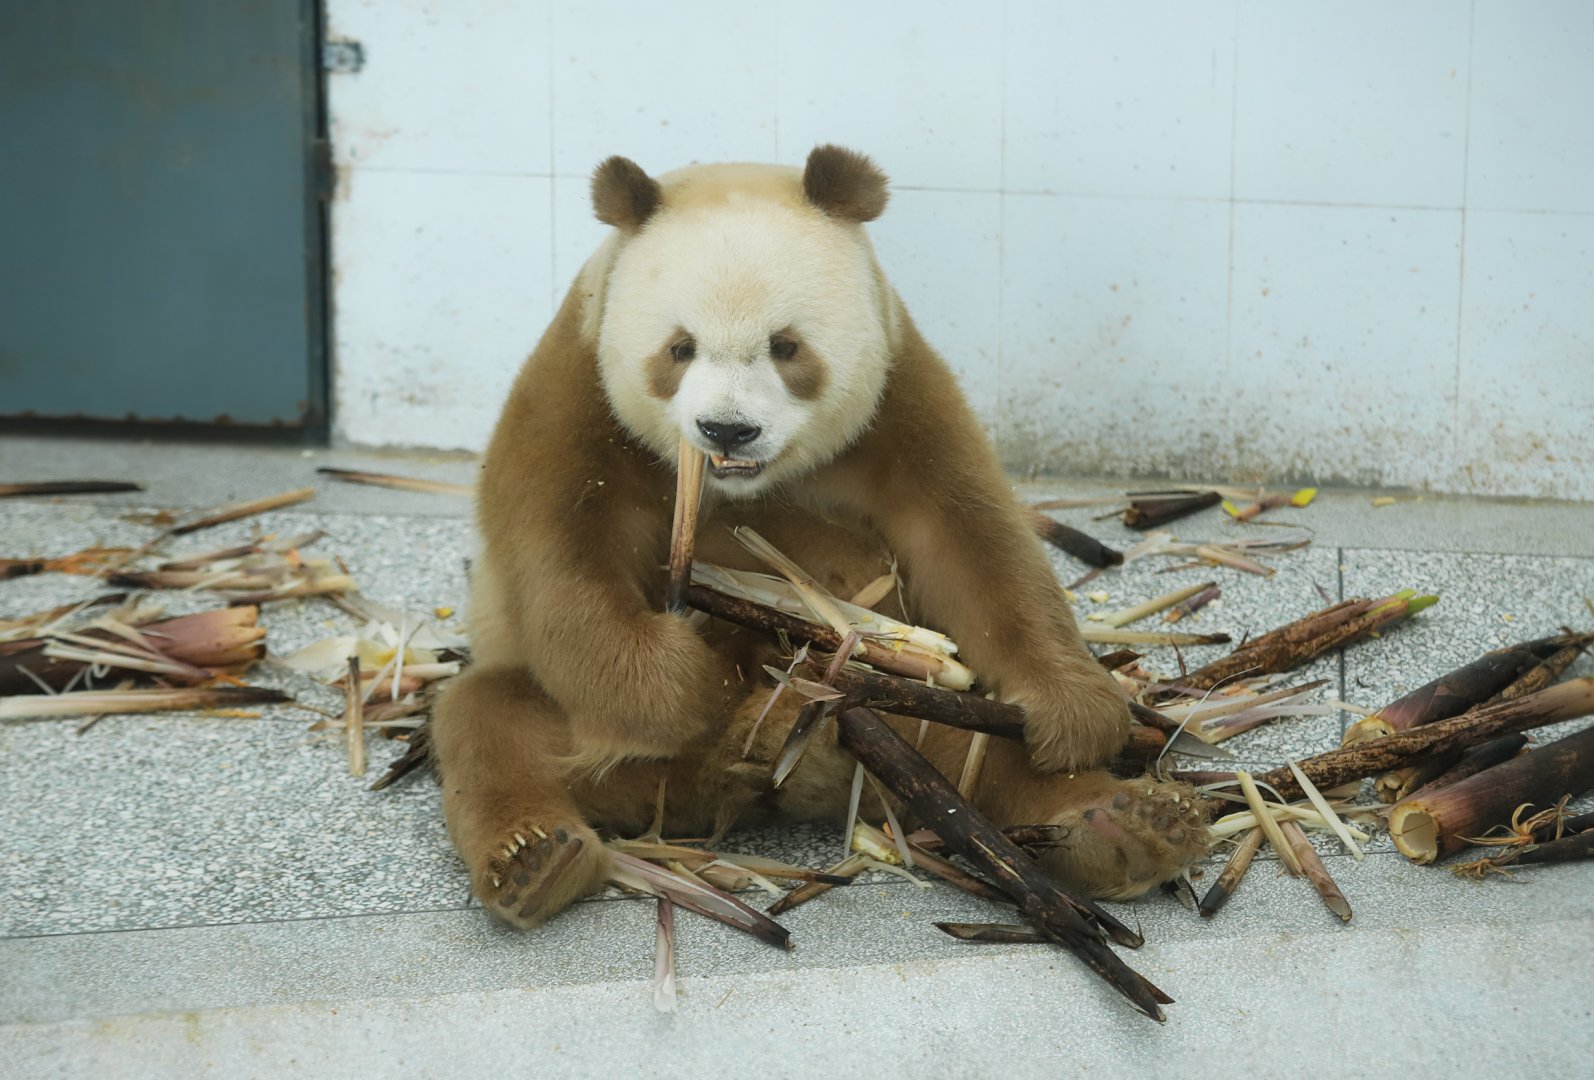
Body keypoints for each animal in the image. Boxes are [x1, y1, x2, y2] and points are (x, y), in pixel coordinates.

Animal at [431, 145, 1210, 927]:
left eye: (786, 347)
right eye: (679, 348)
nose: (727, 430)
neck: (744, 485)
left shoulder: (896, 398)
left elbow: (972, 544)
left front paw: (1074, 711)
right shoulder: (575, 396)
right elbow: (562, 560)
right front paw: (676, 690)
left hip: (883, 702)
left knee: (980, 751)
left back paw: (1128, 827)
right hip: (586, 738)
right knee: (490, 721)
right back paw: (537, 857)